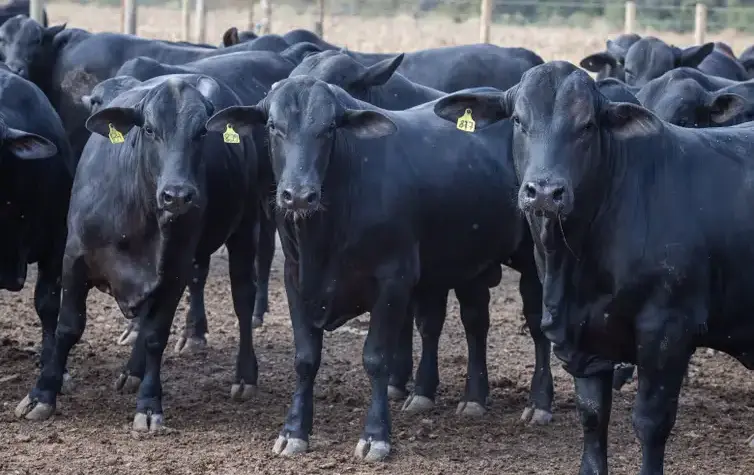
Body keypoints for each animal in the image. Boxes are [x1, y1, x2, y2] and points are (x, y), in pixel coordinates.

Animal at [14, 74, 262, 430]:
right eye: (149, 129)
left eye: (201, 132)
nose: (177, 195)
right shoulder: (73, 260)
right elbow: (68, 327)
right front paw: (42, 394)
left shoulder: (174, 271)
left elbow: (156, 336)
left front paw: (149, 404)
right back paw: (132, 370)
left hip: (246, 226)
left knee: (243, 299)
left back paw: (244, 376)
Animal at [431, 59, 754, 475]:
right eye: (518, 120)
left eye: (586, 125)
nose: (544, 192)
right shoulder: (582, 339)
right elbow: (592, 416)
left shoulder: (667, 331)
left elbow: (651, 422)